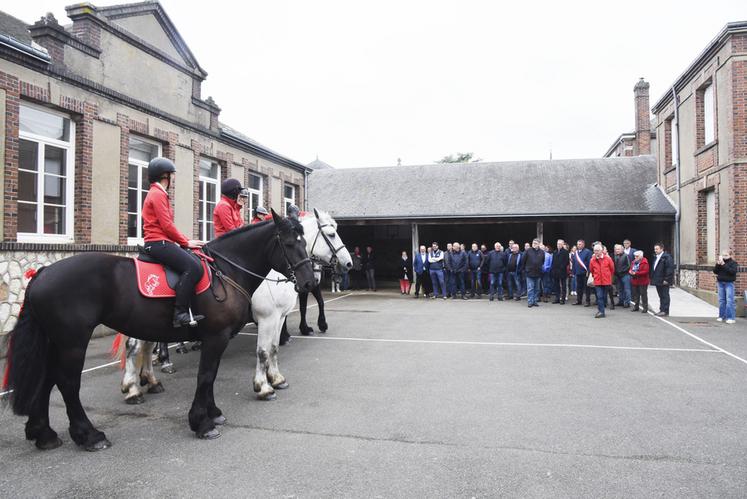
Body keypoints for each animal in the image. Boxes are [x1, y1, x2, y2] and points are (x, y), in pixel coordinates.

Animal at [3, 209, 312, 452]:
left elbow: (212, 376)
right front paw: (202, 422)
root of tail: (42, 273)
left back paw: (43, 433)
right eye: (288, 243)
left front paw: (213, 413)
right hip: (72, 342)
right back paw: (89, 435)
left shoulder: (224, 336)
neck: (227, 270)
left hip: (56, 340)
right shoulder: (220, 335)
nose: (309, 281)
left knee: (47, 379)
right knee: (67, 383)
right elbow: (208, 375)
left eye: (305, 242)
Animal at [114, 209, 354, 404]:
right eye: (331, 234)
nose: (349, 263)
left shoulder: (279, 317)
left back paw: (151, 379)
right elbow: (263, 352)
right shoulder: (267, 318)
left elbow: (273, 348)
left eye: (304, 242)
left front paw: (276, 378)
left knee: (145, 345)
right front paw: (263, 386)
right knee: (135, 346)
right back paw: (135, 385)